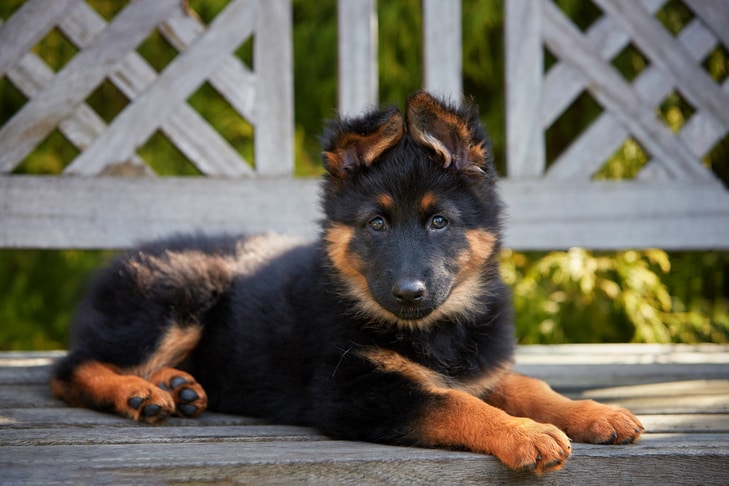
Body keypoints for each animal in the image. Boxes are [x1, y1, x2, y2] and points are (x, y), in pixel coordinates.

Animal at [52, 92, 644, 474]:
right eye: (376, 224)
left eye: (439, 221)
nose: (409, 293)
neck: (436, 330)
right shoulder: (354, 391)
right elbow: (454, 404)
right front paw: (524, 433)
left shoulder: (478, 368)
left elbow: (528, 387)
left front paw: (594, 413)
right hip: (183, 289)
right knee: (69, 368)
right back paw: (138, 392)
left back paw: (178, 386)